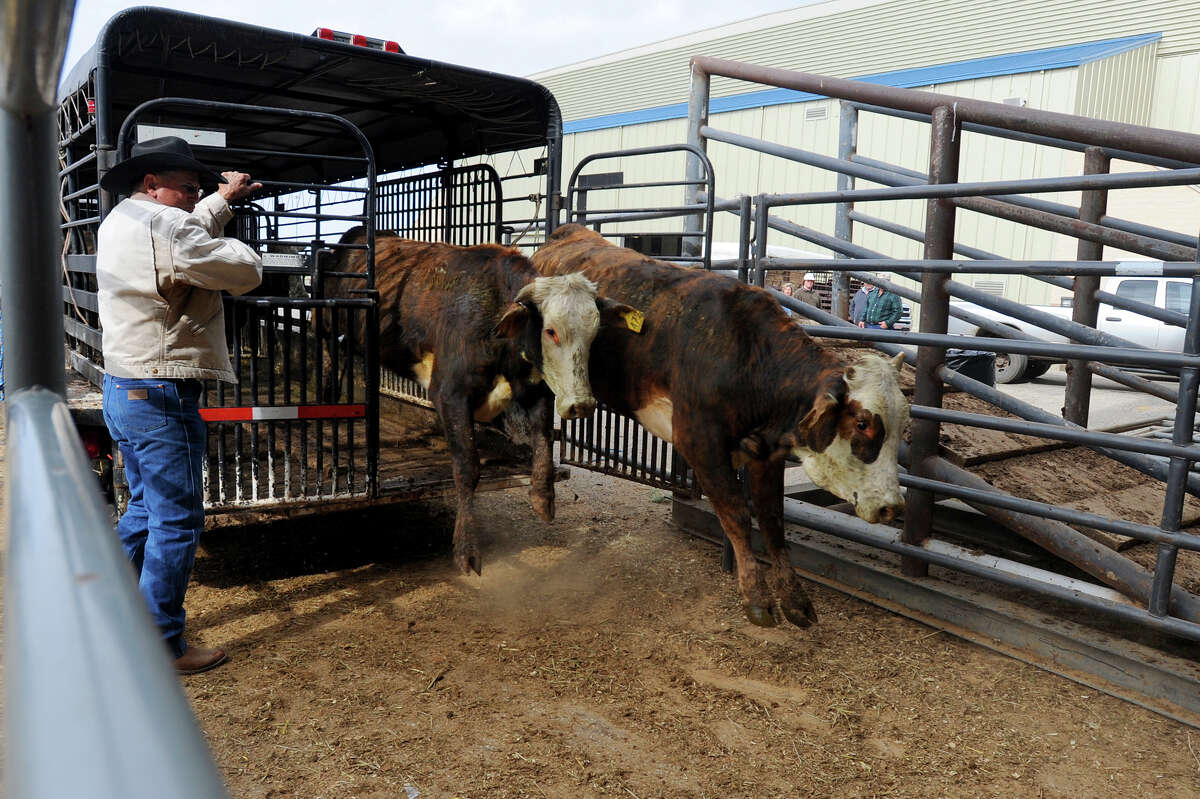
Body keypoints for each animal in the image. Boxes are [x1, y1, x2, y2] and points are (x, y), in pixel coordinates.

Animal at [328, 229, 643, 573]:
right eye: (550, 331)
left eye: (594, 332)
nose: (582, 404)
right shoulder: (450, 395)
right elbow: (467, 467)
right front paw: (466, 549)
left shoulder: (536, 390)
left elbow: (544, 440)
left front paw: (543, 498)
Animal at [530, 224, 902, 628]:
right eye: (862, 423)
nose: (892, 506)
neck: (746, 353)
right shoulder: (700, 441)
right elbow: (736, 513)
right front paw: (756, 597)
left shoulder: (766, 452)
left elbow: (772, 519)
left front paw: (795, 599)